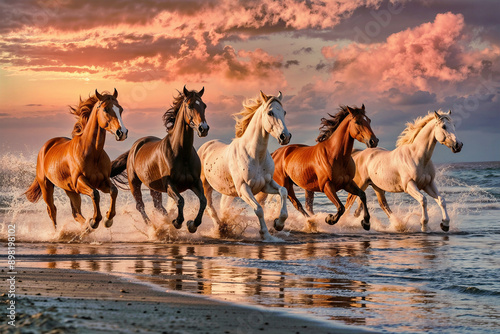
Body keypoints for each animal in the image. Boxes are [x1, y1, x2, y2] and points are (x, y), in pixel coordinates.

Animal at [24, 88, 129, 230]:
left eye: (121, 109)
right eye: (106, 109)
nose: (122, 132)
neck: (92, 153)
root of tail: (46, 147)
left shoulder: (102, 181)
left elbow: (114, 191)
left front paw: (108, 219)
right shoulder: (79, 181)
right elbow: (95, 194)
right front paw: (95, 221)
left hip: (70, 190)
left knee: (75, 212)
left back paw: (84, 227)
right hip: (47, 186)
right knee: (52, 210)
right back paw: (59, 232)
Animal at [110, 86, 208, 232]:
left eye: (204, 106)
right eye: (190, 106)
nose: (203, 128)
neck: (182, 154)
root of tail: (134, 147)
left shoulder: (195, 182)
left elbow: (203, 201)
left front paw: (192, 225)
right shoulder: (169, 184)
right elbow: (180, 200)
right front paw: (177, 222)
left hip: (153, 187)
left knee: (158, 207)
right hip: (134, 183)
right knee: (140, 206)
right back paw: (152, 227)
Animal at [197, 90, 292, 240]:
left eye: (284, 112)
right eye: (270, 113)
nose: (285, 137)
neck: (255, 155)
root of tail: (205, 146)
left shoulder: (266, 184)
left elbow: (283, 191)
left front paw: (279, 223)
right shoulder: (244, 188)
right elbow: (258, 209)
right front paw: (265, 234)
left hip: (228, 192)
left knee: (222, 207)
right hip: (206, 186)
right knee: (209, 207)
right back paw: (220, 229)